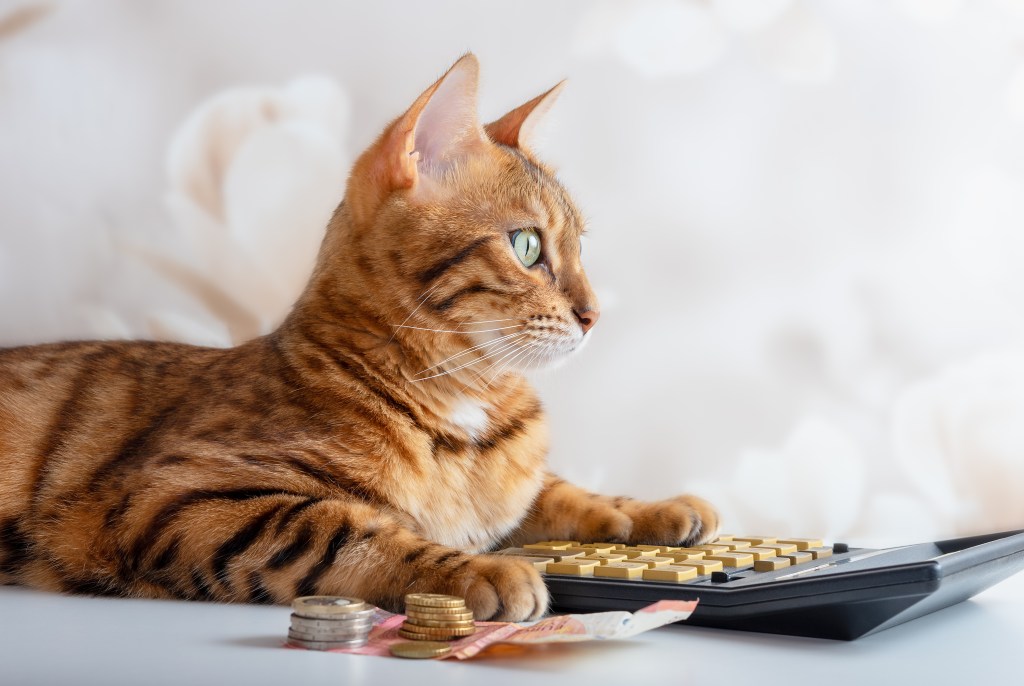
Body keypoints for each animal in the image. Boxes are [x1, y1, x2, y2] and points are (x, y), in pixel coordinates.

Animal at [0, 53, 720, 622]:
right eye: (526, 246)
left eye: (580, 249)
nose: (595, 313)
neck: (467, 410)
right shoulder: (184, 495)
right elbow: (348, 529)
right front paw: (477, 570)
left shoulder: (522, 487)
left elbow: (559, 489)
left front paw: (656, 508)